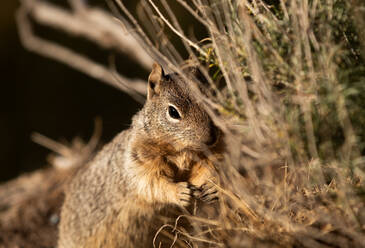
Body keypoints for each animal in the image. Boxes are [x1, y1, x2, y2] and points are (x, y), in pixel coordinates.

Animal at [57, 62, 222, 248]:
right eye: (173, 112)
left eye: (212, 99)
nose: (211, 138)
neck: (182, 151)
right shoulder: (138, 164)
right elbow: (153, 185)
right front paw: (178, 192)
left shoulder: (209, 157)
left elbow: (207, 172)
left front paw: (213, 188)